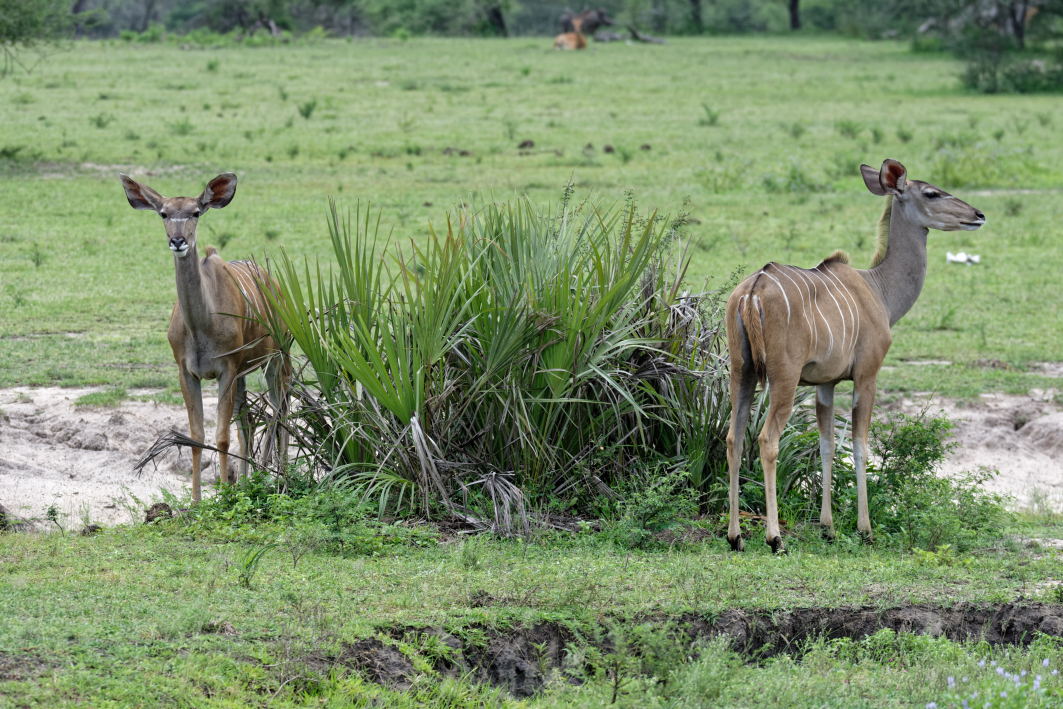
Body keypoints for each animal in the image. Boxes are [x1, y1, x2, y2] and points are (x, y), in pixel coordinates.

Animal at [120, 173, 289, 503]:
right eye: (164, 214)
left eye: (196, 212)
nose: (178, 241)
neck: (201, 327)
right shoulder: (188, 372)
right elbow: (197, 436)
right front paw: (197, 501)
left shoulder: (226, 368)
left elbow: (221, 437)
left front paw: (224, 496)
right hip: (246, 373)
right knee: (249, 421)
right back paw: (249, 482)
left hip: (278, 358)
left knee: (281, 410)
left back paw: (279, 479)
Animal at [724, 159, 985, 554]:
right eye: (931, 193)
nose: (978, 214)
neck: (879, 290)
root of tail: (753, 291)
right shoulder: (866, 374)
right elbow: (860, 445)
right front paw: (865, 529)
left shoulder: (825, 384)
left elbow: (828, 445)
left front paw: (828, 529)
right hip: (783, 378)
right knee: (767, 440)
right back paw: (775, 538)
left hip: (742, 372)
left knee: (732, 439)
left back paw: (736, 536)